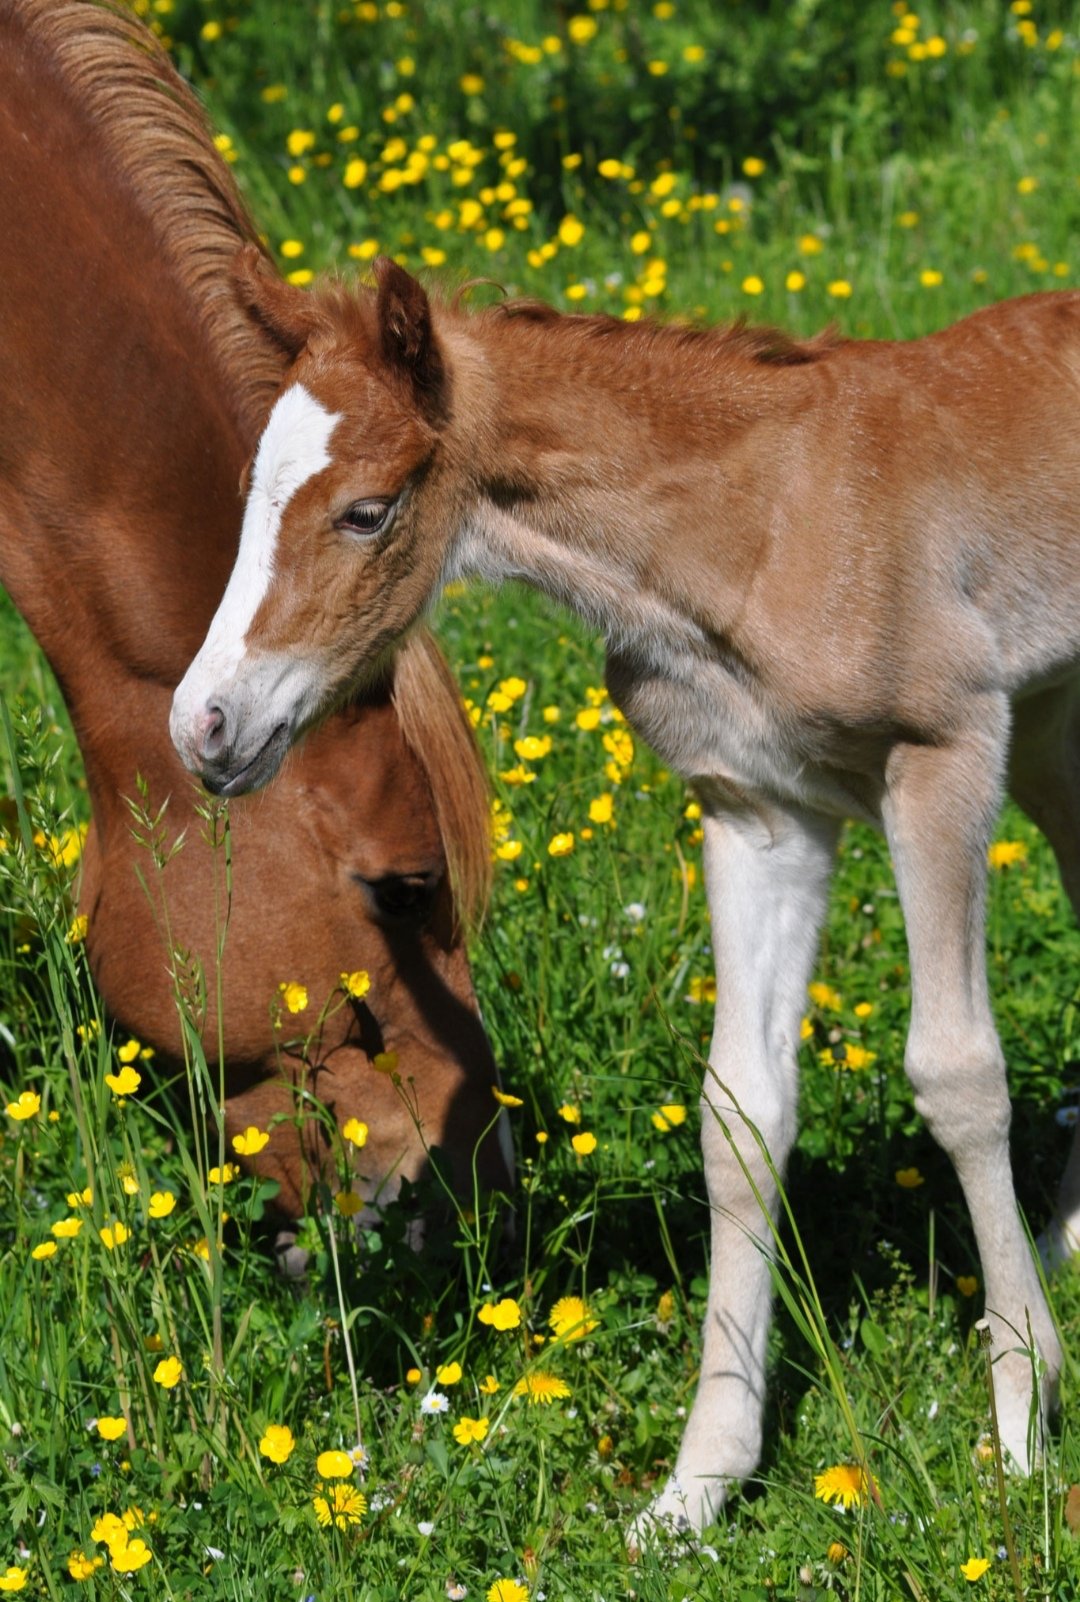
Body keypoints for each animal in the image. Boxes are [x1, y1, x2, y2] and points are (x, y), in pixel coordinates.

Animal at [170, 251, 1080, 1531]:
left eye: (367, 510)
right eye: (253, 494)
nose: (205, 727)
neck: (762, 527)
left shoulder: (944, 752)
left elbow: (957, 1078)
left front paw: (1020, 1425)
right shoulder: (757, 808)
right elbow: (740, 1116)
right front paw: (695, 1490)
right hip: (1051, 730)